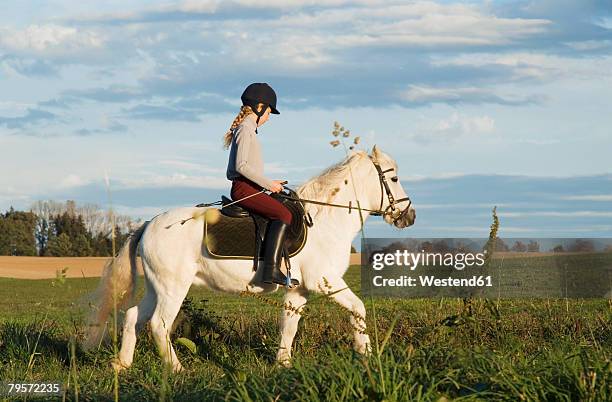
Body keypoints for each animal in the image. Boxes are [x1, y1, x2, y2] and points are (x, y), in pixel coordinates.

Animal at [82, 146, 416, 372]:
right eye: (395, 178)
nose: (409, 215)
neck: (325, 219)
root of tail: (149, 224)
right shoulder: (327, 282)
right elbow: (358, 309)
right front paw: (367, 355)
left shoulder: (299, 289)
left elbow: (288, 327)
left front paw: (283, 365)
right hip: (172, 288)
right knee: (159, 325)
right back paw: (176, 370)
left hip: (157, 287)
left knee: (133, 317)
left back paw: (121, 365)